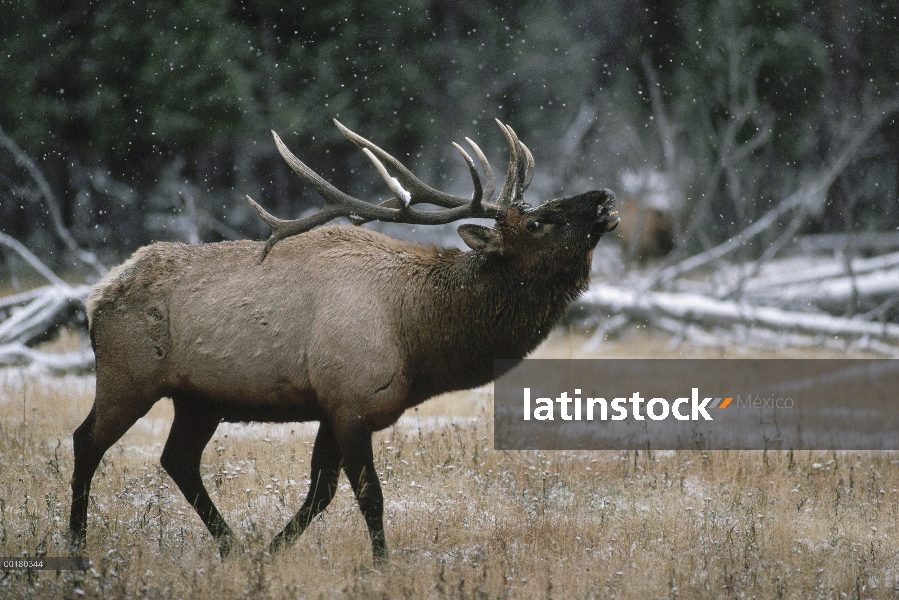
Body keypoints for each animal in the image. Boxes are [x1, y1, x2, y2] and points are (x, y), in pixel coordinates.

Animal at [70, 118, 620, 564]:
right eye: (537, 222)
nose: (604, 198)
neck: (419, 338)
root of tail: (95, 298)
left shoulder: (330, 406)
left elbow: (321, 492)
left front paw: (270, 556)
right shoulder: (351, 401)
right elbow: (368, 496)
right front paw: (381, 567)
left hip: (199, 398)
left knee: (177, 459)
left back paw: (234, 550)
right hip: (128, 375)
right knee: (87, 441)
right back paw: (77, 549)